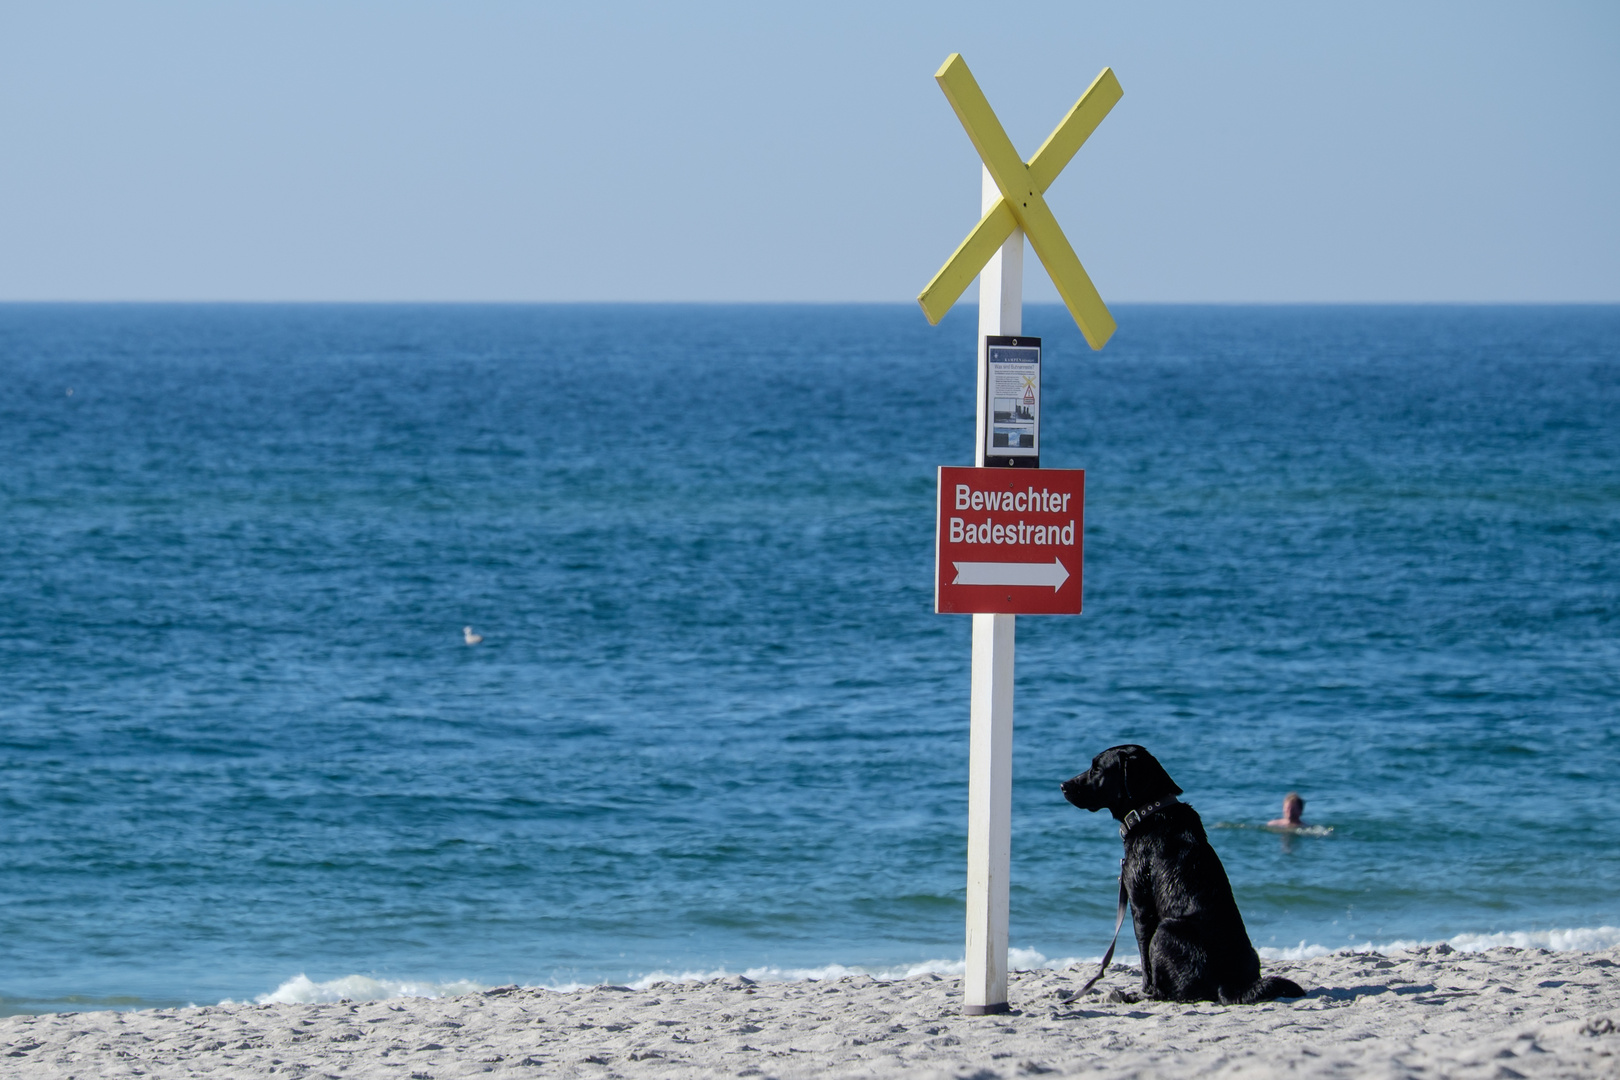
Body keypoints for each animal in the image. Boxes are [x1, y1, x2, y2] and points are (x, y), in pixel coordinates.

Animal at [1062, 744, 1302, 1003]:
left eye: (1097, 769)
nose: (1063, 785)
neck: (1148, 811)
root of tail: (1226, 985)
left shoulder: (1141, 908)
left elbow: (1145, 961)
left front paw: (1143, 989)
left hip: (1166, 929)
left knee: (1168, 990)